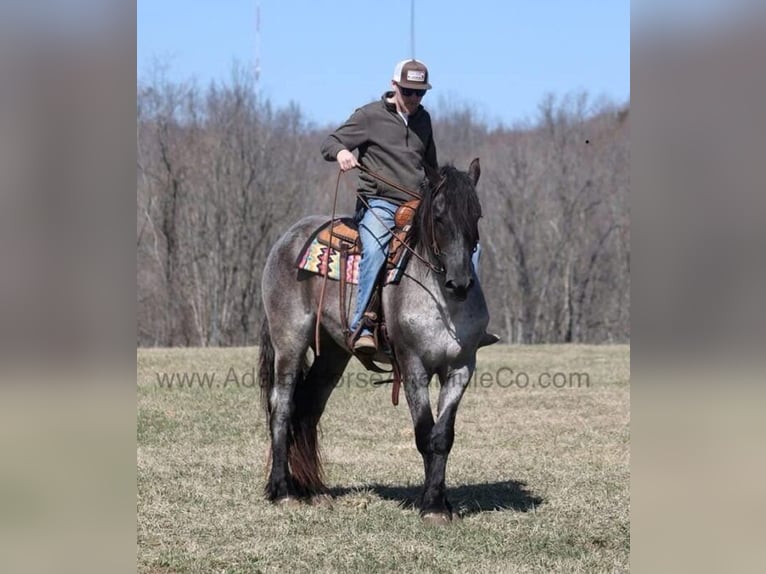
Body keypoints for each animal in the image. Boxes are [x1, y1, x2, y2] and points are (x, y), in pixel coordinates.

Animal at [258, 158, 489, 524]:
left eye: (476, 215)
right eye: (439, 215)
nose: (461, 282)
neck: (441, 301)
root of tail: (287, 239)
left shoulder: (461, 367)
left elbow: (442, 437)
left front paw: (442, 503)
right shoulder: (413, 367)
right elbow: (424, 433)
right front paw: (430, 505)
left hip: (333, 354)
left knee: (308, 409)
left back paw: (313, 490)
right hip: (289, 341)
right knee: (281, 407)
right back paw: (283, 491)